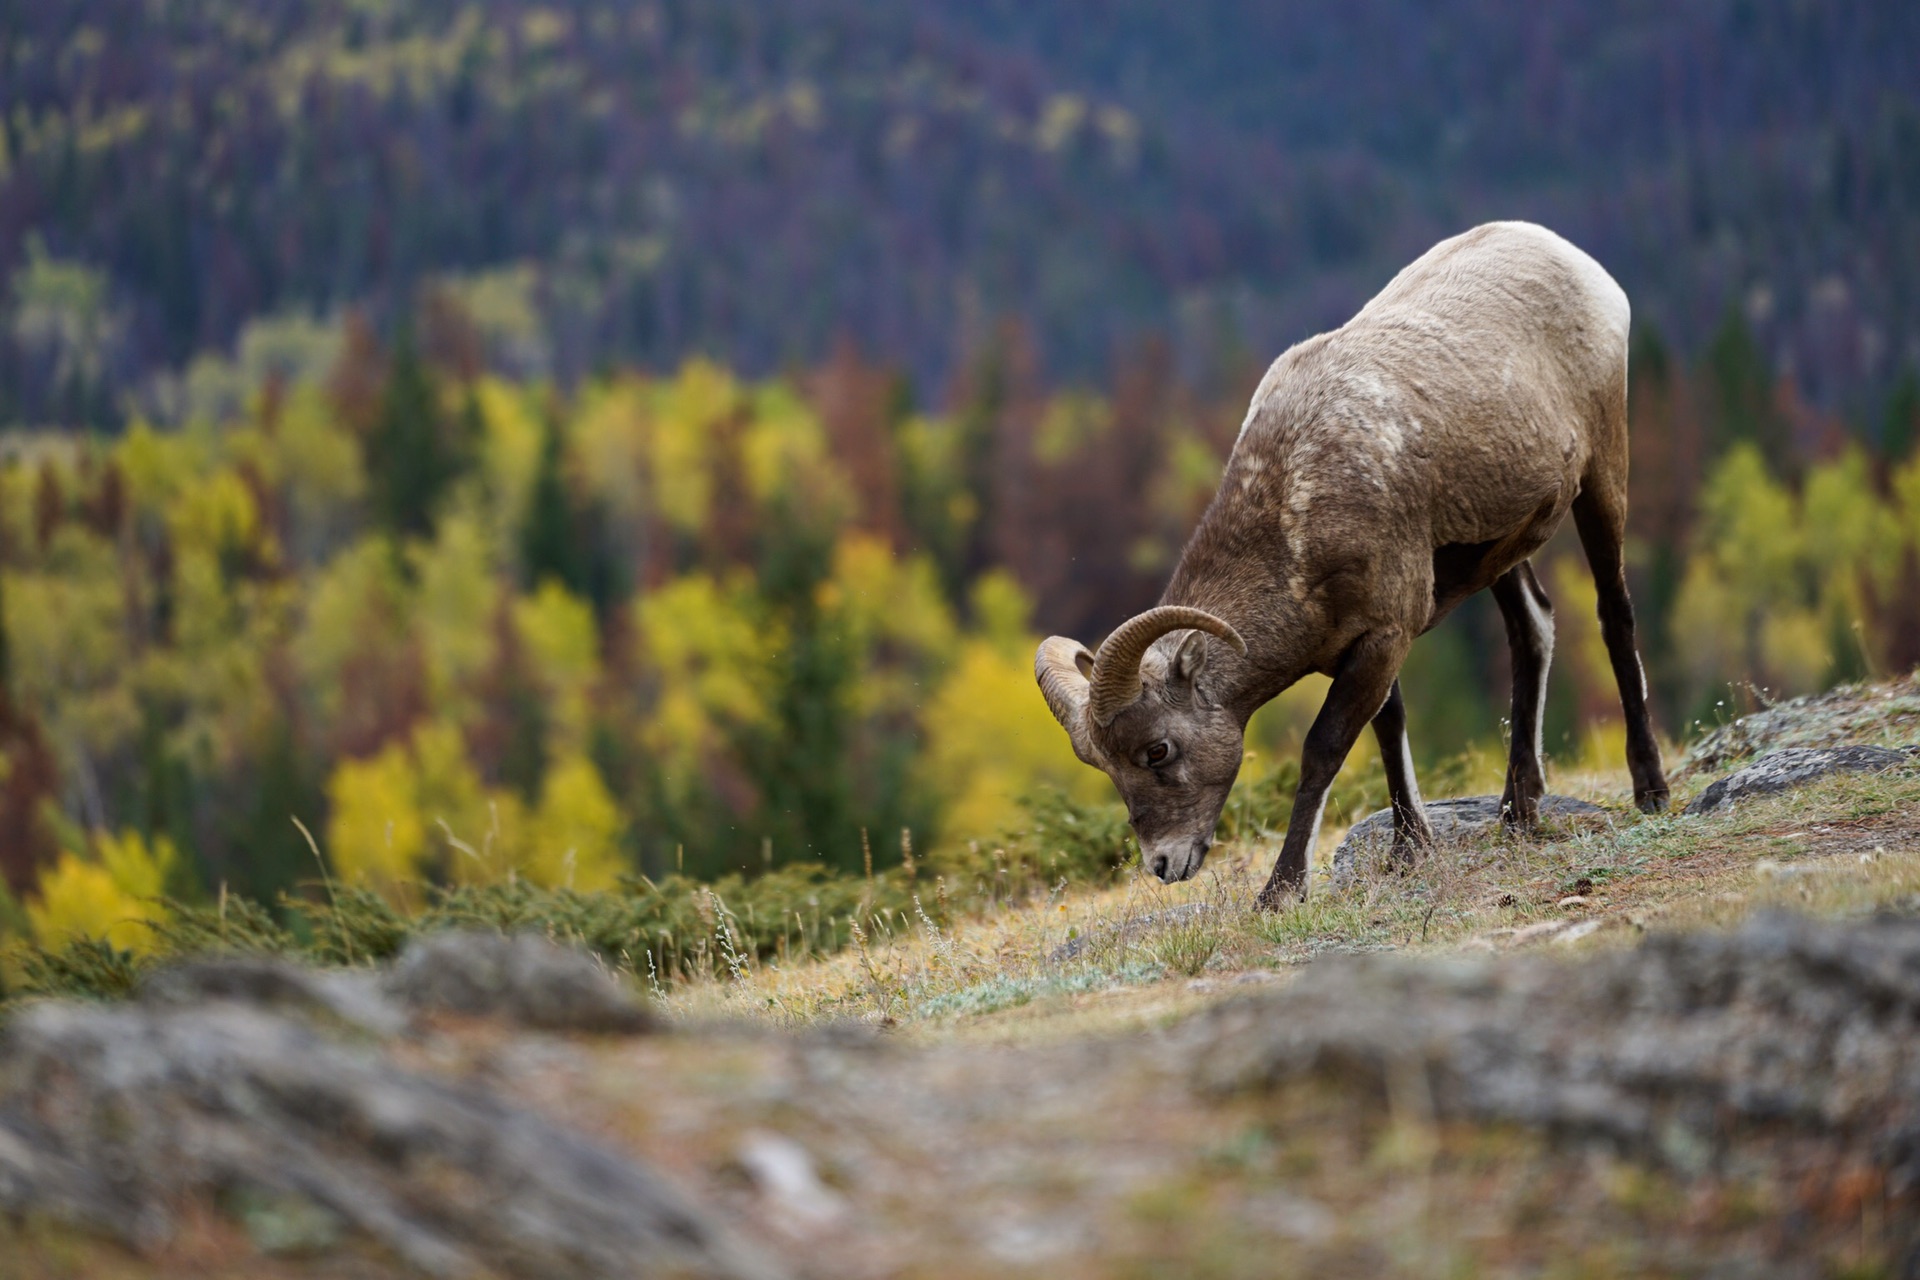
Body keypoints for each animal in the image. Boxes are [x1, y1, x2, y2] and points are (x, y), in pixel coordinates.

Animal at [1036, 225, 1666, 917]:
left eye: (1157, 749)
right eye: (1106, 767)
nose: (1165, 865)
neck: (1300, 501)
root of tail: (1568, 255)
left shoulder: (1383, 635)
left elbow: (1326, 748)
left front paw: (1281, 891)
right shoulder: (1367, 643)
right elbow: (1389, 727)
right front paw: (1410, 849)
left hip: (1603, 476)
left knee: (1614, 612)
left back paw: (1650, 791)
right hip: (1505, 549)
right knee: (1535, 629)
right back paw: (1518, 811)